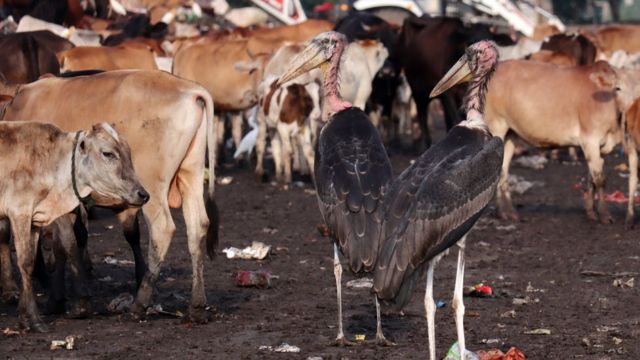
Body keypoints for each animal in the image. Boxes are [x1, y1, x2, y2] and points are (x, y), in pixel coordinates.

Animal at [0, 121, 148, 332]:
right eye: (108, 153)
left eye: (128, 151)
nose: (143, 194)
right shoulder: (19, 212)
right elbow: (26, 263)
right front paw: (35, 319)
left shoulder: (34, 220)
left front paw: (23, 315)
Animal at [484, 59, 620, 224]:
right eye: (619, 87)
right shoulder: (590, 140)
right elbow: (599, 179)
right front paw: (604, 214)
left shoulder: (599, 147)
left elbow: (591, 178)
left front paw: (591, 212)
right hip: (496, 126)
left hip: (511, 134)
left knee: (503, 170)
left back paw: (507, 212)